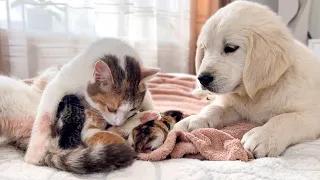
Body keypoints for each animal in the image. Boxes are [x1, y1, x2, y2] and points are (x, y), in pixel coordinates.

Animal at [25, 37, 159, 173]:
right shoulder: (59, 84)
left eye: (133, 109)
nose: (118, 122)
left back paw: (146, 116)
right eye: (110, 108)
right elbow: (45, 114)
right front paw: (35, 151)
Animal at [174, 0, 320, 158]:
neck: (255, 95)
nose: (202, 78)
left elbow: (285, 118)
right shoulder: (233, 105)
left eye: (230, 48)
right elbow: (215, 108)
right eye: (205, 48)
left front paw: (264, 137)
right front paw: (196, 119)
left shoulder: (313, 112)